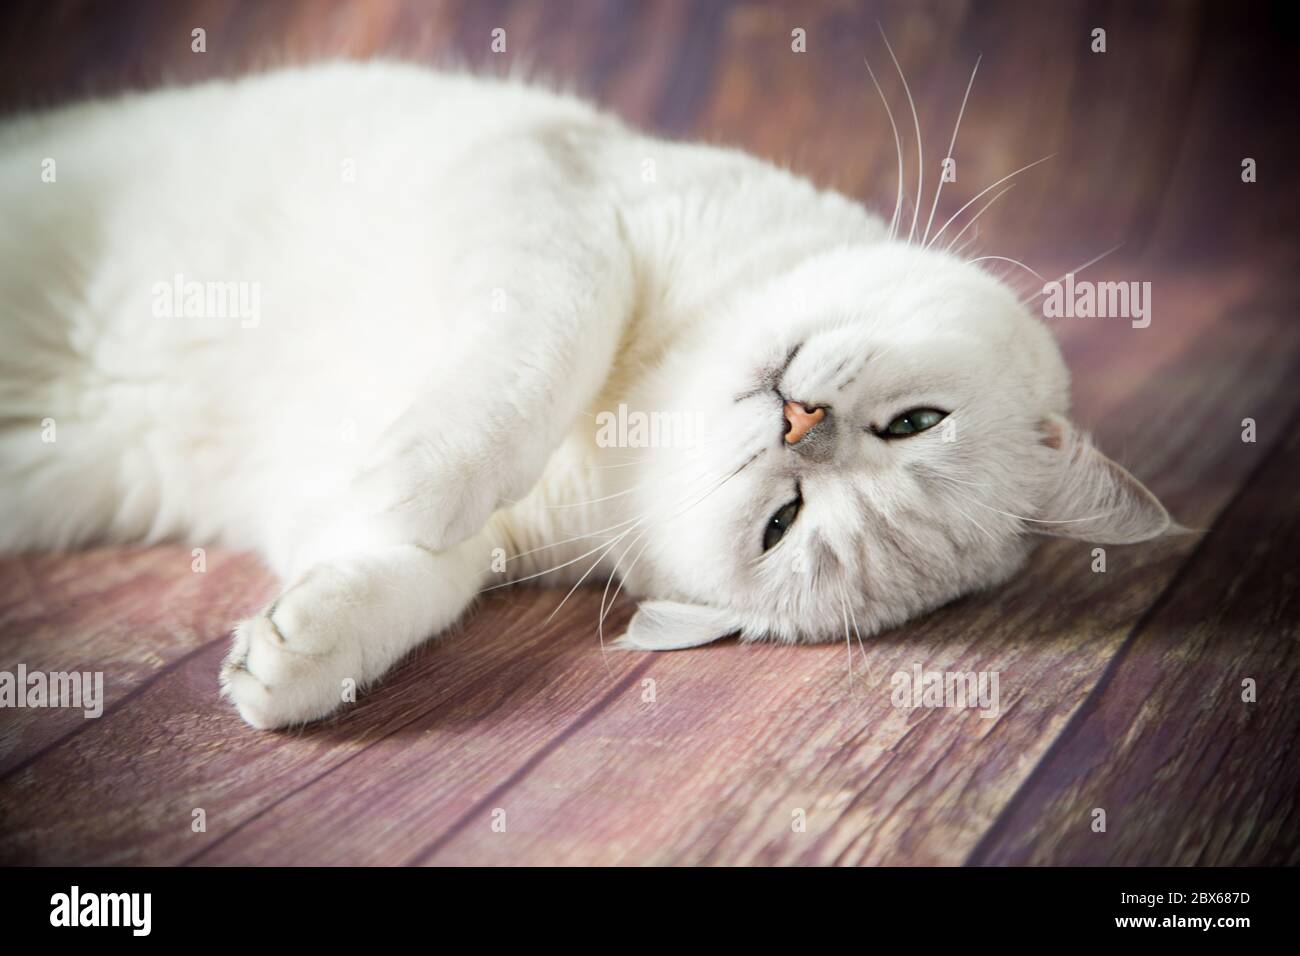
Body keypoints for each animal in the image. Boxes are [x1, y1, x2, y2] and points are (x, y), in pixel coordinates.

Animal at [0, 63, 1175, 728]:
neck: (644, 397)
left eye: (783, 522)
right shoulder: (554, 189)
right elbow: (548, 337)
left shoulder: (440, 532)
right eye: (914, 422)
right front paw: (417, 470)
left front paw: (295, 658)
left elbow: (413, 571)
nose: (800, 425)